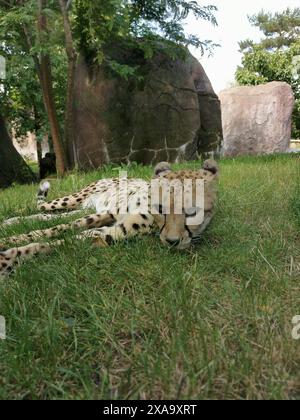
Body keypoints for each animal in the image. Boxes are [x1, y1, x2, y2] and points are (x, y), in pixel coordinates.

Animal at [0, 159, 218, 278]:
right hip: (74, 200)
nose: (173, 242)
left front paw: (8, 259)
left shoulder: (111, 228)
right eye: (161, 208)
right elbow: (57, 229)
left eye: (192, 212)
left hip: (86, 208)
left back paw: (10, 222)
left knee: (48, 215)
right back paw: (10, 220)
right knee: (42, 208)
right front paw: (8, 247)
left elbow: (61, 238)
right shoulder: (108, 214)